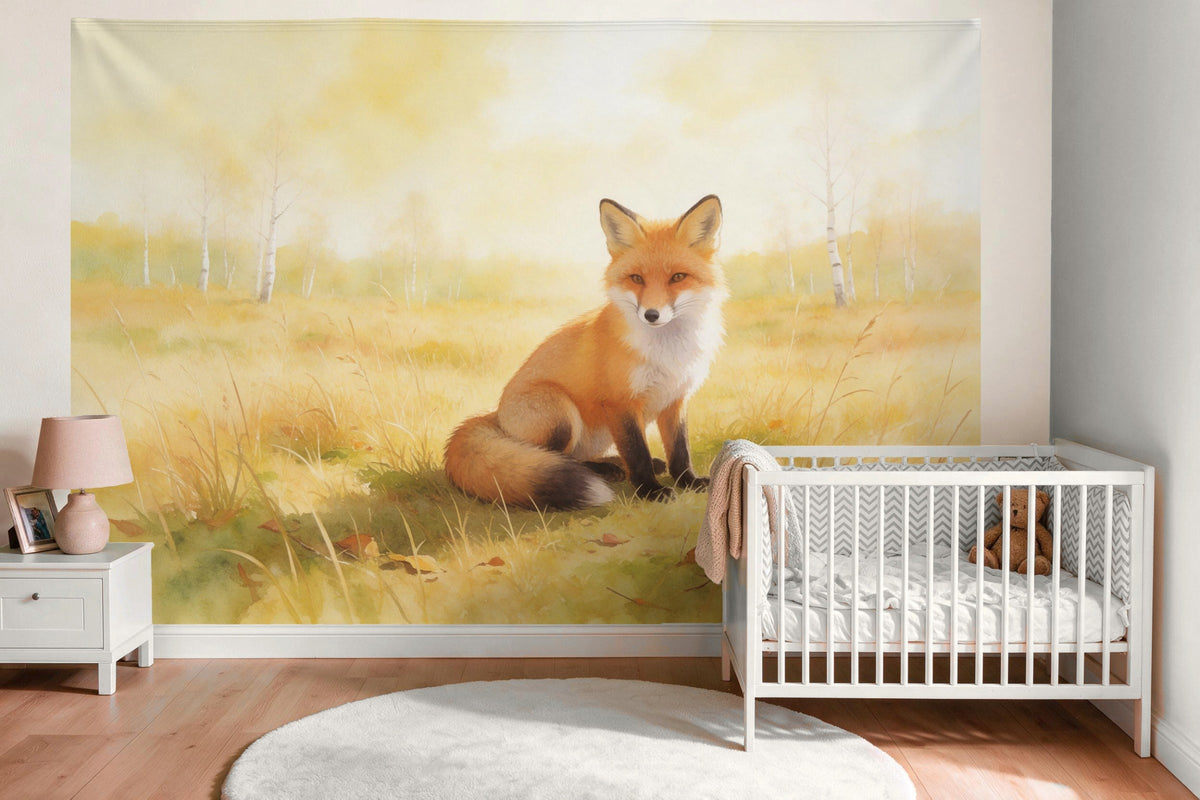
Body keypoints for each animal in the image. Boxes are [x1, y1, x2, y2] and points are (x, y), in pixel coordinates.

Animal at [443, 194, 727, 510]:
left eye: (678, 277)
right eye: (636, 278)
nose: (651, 315)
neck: (667, 352)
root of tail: (495, 415)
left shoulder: (675, 399)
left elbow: (680, 450)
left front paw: (688, 481)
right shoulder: (620, 401)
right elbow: (636, 452)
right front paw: (649, 490)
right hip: (560, 413)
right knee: (554, 458)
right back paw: (604, 471)